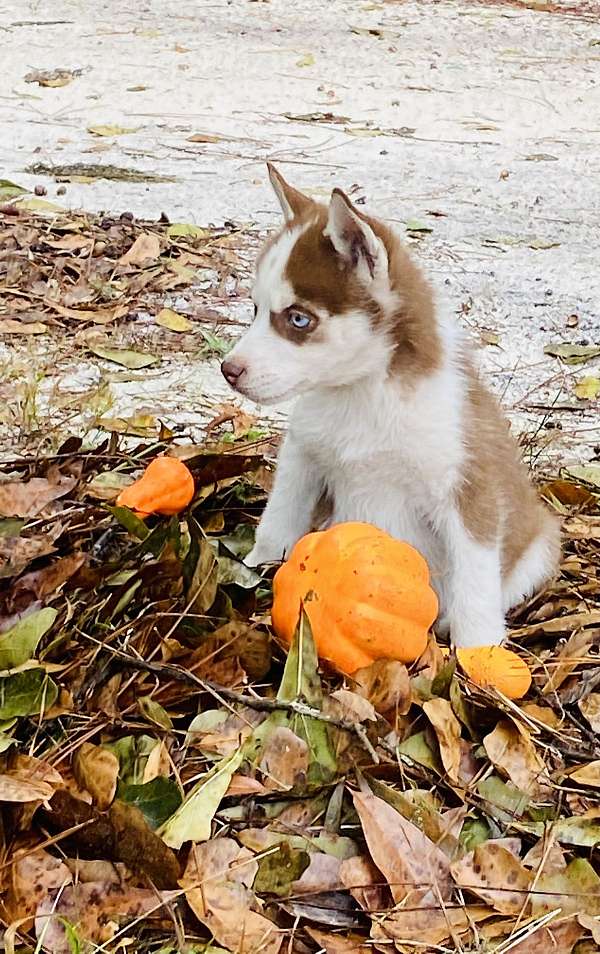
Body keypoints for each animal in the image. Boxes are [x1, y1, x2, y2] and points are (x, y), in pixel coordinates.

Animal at [221, 165, 564, 648]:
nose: (228, 370)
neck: (362, 395)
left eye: (298, 319)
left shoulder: (468, 489)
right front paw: (255, 567)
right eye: (254, 309)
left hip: (539, 545)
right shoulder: (302, 458)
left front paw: (478, 651)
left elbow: (475, 581)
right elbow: (277, 521)